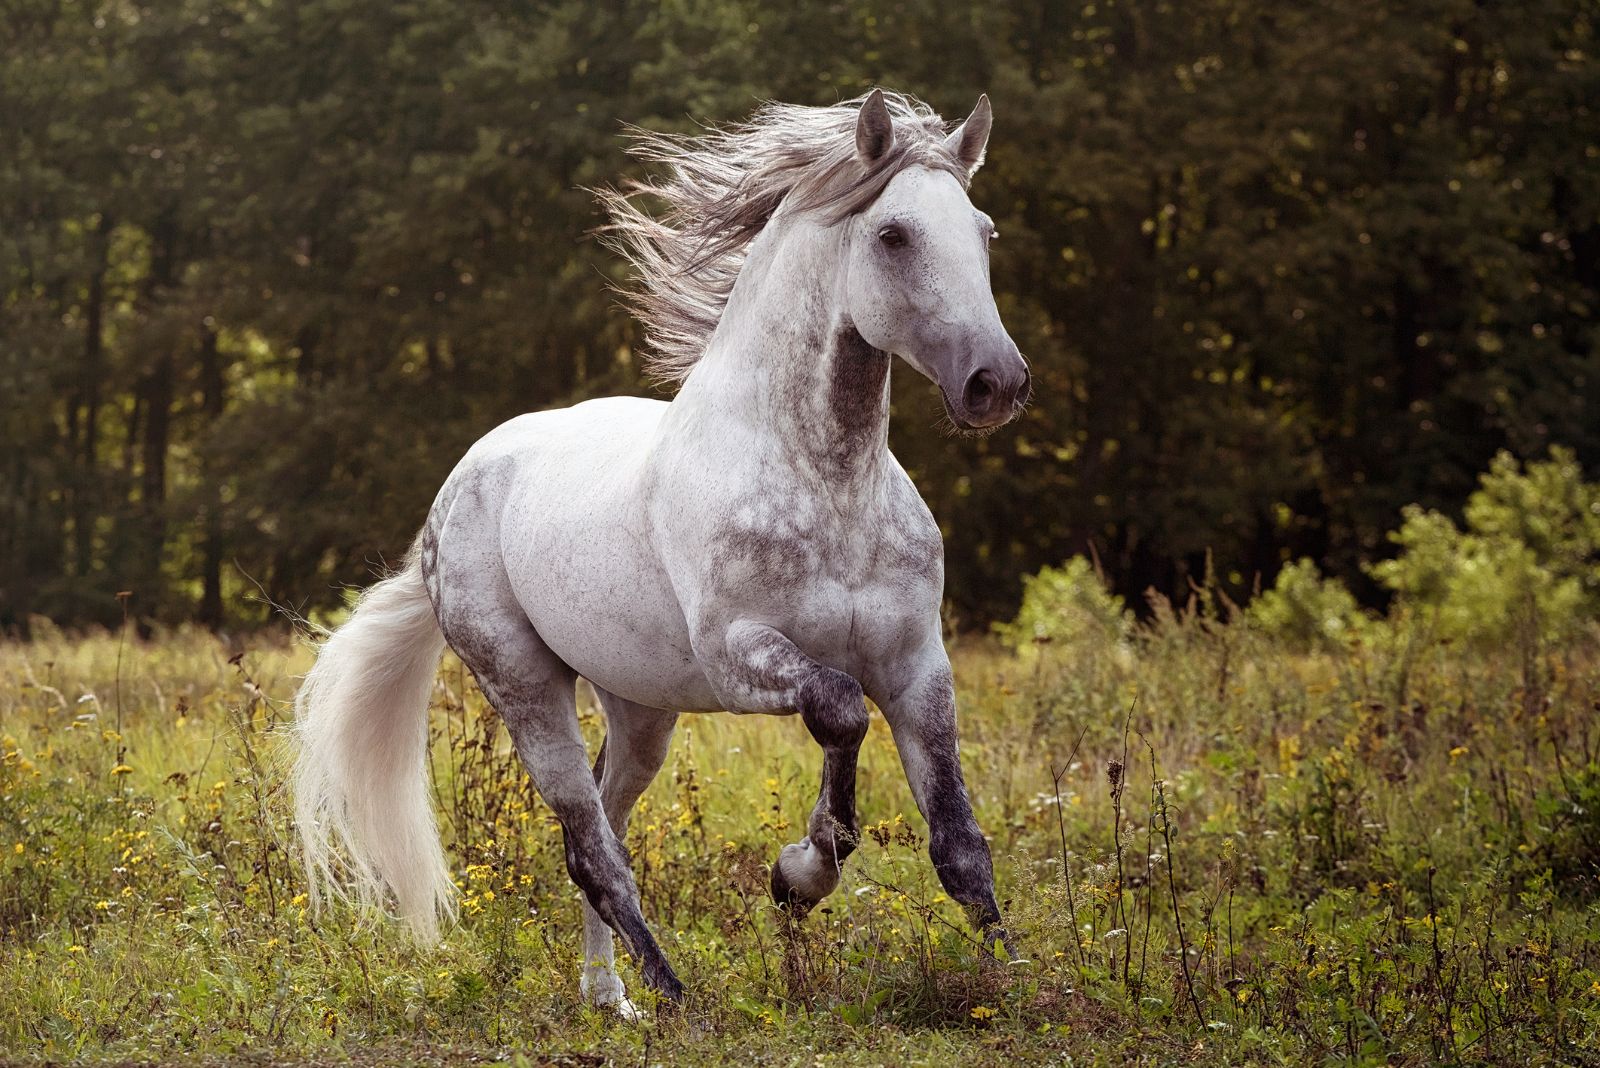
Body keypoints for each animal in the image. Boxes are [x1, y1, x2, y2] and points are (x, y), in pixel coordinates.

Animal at [294, 87, 1030, 1016]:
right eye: (893, 234)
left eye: (985, 230)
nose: (996, 384)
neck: (828, 485)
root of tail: (454, 493)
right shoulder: (739, 655)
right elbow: (838, 709)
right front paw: (798, 875)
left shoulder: (916, 664)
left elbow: (958, 839)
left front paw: (1012, 978)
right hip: (524, 686)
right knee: (592, 848)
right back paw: (669, 995)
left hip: (641, 710)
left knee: (606, 826)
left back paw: (609, 996)